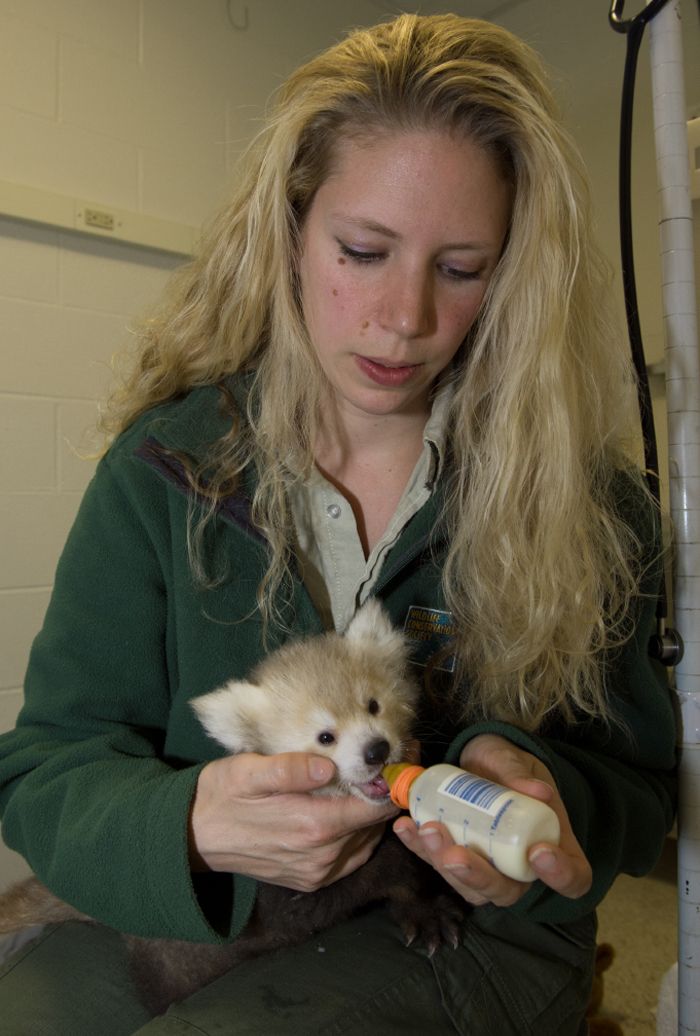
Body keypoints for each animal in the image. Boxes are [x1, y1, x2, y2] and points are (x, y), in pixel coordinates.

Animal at [0, 605, 463, 1015]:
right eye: (325, 736)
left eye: (373, 705)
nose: (376, 750)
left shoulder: (385, 851)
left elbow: (402, 876)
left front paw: (425, 912)